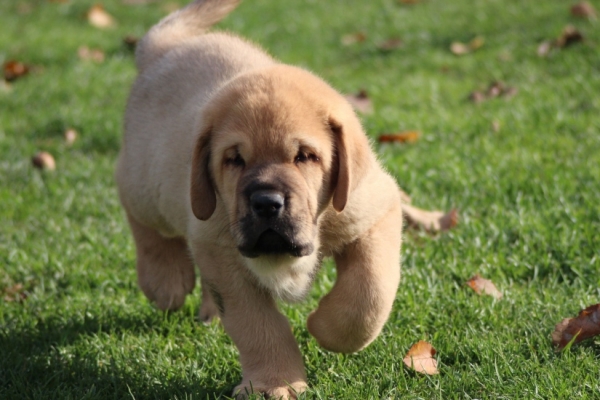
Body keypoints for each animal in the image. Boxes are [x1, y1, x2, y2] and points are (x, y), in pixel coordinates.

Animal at [115, 1, 400, 398]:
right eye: (235, 159)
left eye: (305, 156)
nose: (266, 202)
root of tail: (164, 49)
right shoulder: (223, 254)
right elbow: (257, 325)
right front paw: (273, 382)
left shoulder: (373, 212)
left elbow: (369, 294)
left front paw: (324, 325)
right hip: (147, 185)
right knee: (137, 211)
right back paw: (165, 279)